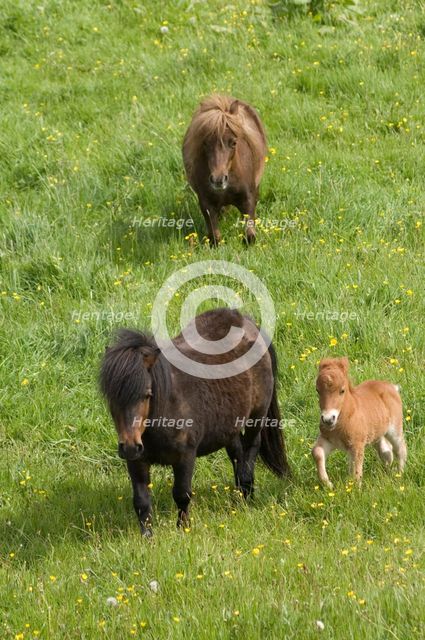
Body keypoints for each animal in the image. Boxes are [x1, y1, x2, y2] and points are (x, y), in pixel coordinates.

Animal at [100, 307, 289, 536]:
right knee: (237, 453)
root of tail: (246, 320)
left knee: (250, 449)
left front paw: (184, 529)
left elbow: (182, 494)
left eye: (147, 395)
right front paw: (147, 537)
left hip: (256, 417)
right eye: (112, 398)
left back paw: (245, 493)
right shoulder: (137, 460)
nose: (128, 446)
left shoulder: (185, 456)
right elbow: (141, 501)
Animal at [182, 95, 267, 246]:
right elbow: (215, 237)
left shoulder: (248, 199)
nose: (218, 180)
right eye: (205, 142)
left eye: (233, 142)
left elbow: (250, 236)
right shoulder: (206, 204)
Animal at [312, 357, 406, 488]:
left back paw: (399, 474)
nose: (328, 419)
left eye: (342, 391)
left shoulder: (356, 444)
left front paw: (355, 490)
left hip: (394, 428)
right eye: (318, 390)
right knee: (386, 450)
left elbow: (356, 469)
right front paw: (328, 484)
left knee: (400, 447)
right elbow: (317, 452)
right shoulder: (329, 440)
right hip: (376, 431)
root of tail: (392, 387)